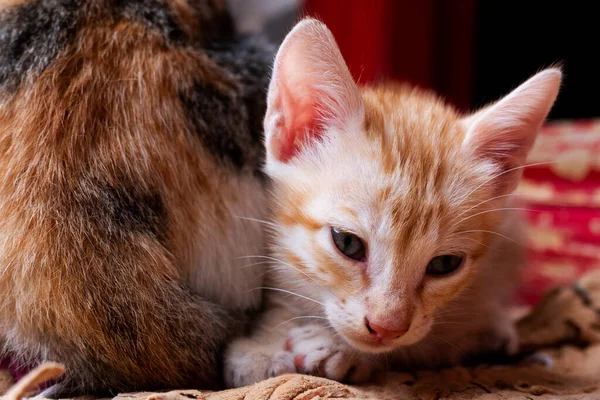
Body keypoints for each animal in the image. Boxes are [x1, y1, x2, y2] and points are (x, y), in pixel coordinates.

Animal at [223, 18, 560, 388]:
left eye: (445, 264)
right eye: (347, 243)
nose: (386, 327)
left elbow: (428, 344)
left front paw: (335, 347)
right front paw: (265, 345)